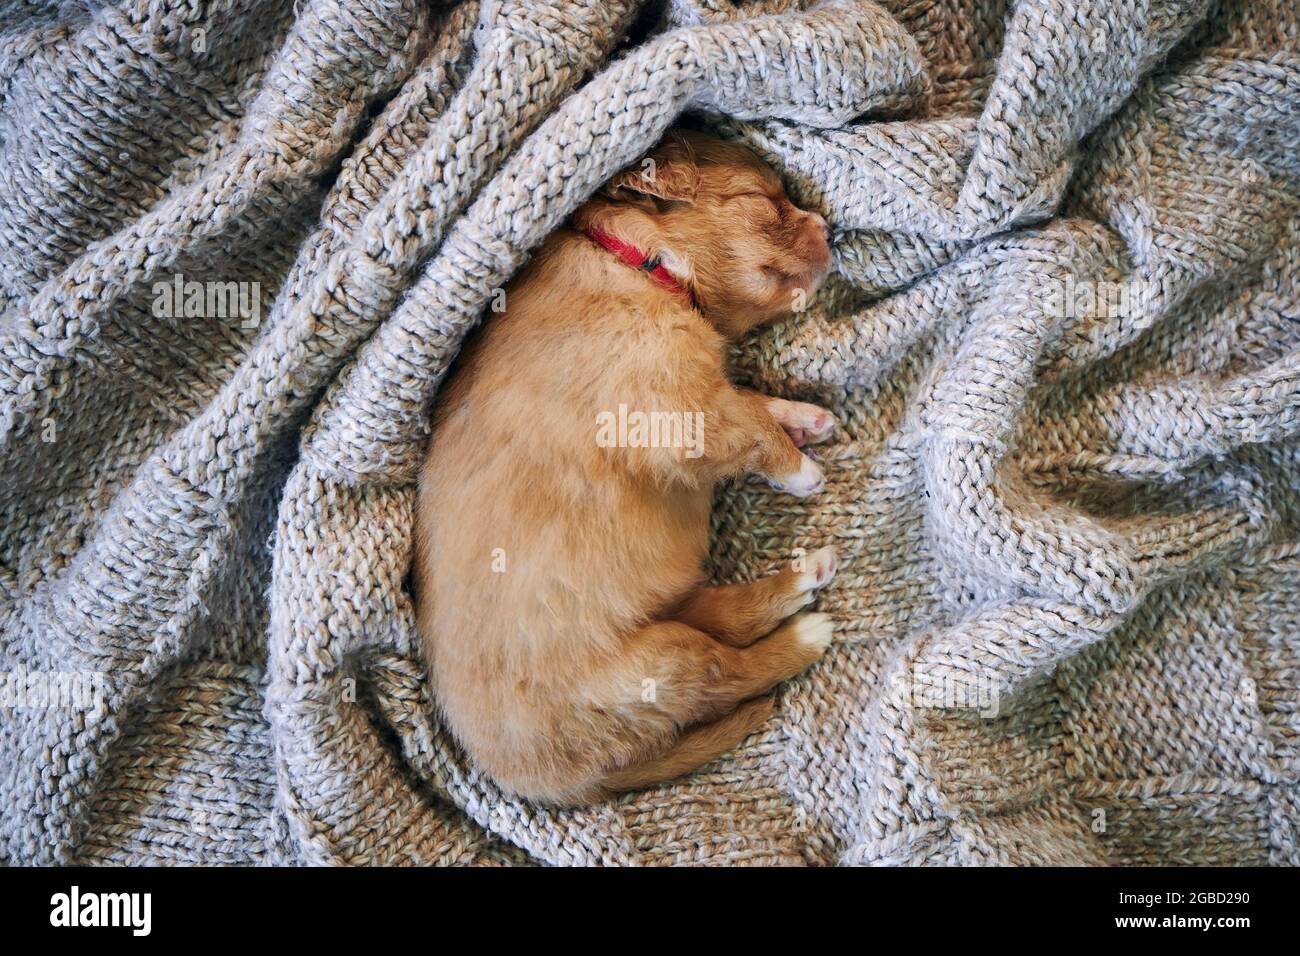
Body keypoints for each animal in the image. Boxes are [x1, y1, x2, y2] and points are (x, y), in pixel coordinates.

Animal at [416, 130, 842, 806]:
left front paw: (803, 418)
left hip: (667, 619)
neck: (644, 265)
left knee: (729, 619)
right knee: (733, 670)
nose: (832, 228)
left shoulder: (699, 390)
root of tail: (554, 787)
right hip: (659, 666)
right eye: (760, 199)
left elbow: (751, 403)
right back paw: (806, 637)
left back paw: (806, 575)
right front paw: (801, 467)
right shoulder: (675, 409)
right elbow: (748, 428)